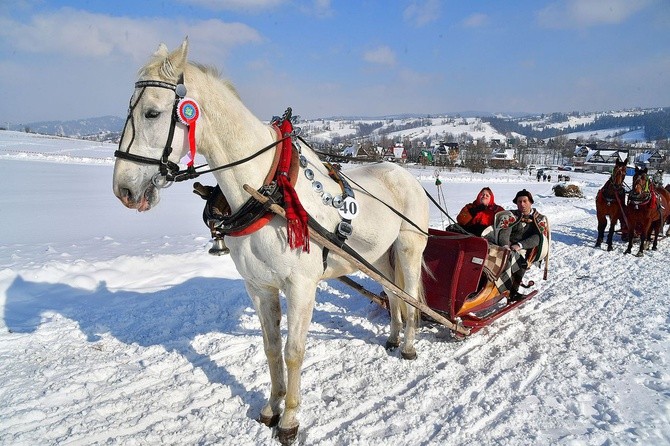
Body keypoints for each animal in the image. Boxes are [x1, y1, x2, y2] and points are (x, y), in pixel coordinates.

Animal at [112, 39, 428, 446]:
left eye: (152, 113)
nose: (123, 188)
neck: (267, 189)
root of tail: (406, 175)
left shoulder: (301, 286)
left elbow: (293, 351)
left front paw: (289, 419)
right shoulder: (260, 287)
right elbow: (271, 347)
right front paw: (270, 408)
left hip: (408, 249)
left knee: (412, 297)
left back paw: (408, 345)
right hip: (377, 257)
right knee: (393, 294)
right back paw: (391, 337)